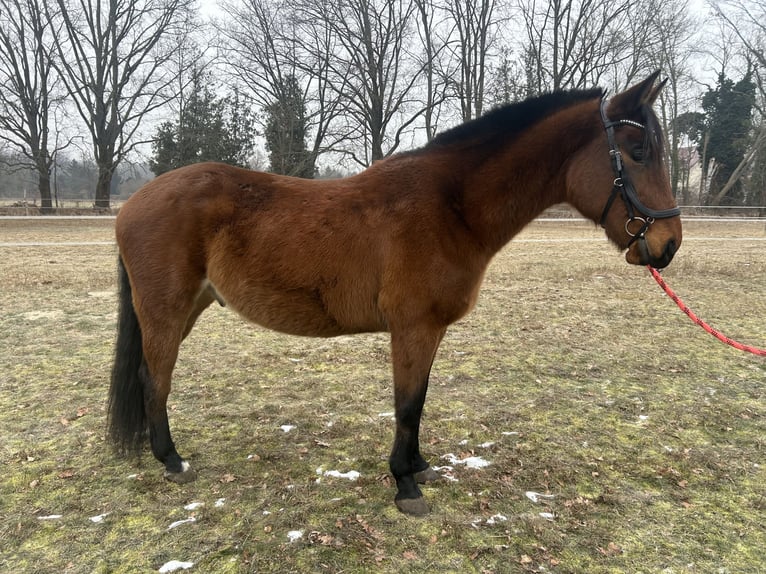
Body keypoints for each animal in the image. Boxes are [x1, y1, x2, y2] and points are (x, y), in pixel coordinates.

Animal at [108, 73, 682, 516]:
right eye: (637, 151)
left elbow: (420, 400)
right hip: (165, 309)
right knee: (154, 378)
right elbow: (408, 404)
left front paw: (420, 468)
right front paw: (405, 485)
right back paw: (172, 460)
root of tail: (134, 201)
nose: (668, 245)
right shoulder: (413, 328)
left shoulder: (428, 332)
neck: (451, 207)